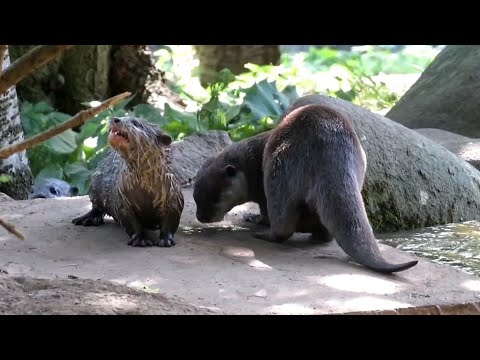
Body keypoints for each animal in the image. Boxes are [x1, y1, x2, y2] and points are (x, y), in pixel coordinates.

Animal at [72, 117, 185, 248]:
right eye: (121, 117)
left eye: (135, 123)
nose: (115, 119)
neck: (146, 191)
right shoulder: (122, 200)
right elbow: (131, 223)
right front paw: (140, 240)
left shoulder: (173, 196)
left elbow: (171, 222)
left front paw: (166, 239)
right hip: (95, 183)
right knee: (96, 206)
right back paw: (87, 218)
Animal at [193, 100, 418, 272]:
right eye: (196, 198)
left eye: (215, 198)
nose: (201, 217)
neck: (251, 164)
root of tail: (331, 147)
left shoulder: (261, 189)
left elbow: (264, 211)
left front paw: (253, 218)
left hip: (279, 170)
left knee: (282, 223)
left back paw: (265, 235)